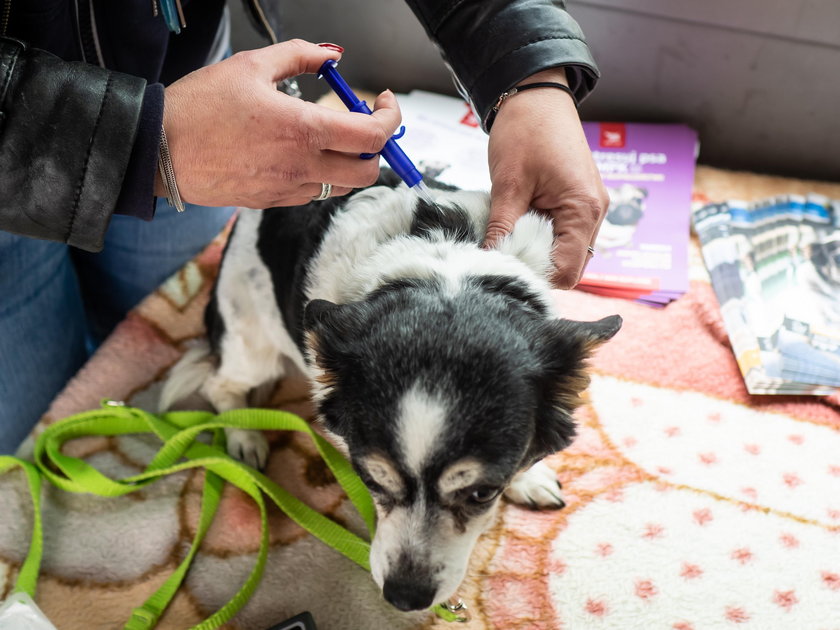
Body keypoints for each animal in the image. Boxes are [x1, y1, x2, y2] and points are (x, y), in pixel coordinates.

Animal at [159, 170, 616, 616]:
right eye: (368, 478)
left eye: (483, 493)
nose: (404, 597)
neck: (448, 270)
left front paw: (528, 476)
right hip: (250, 339)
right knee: (219, 384)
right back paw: (244, 434)